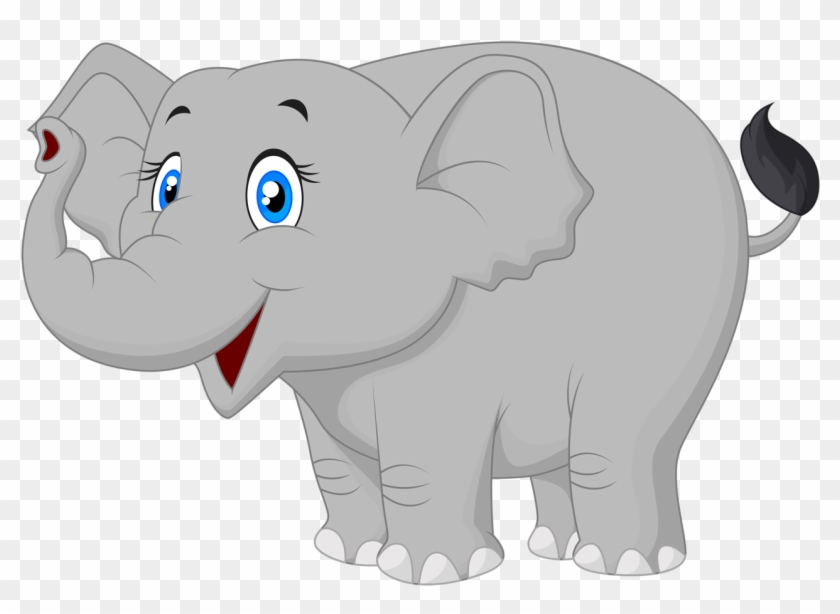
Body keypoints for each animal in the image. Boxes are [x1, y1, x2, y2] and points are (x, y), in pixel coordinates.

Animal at [22, 42, 820, 584]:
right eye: (164, 186)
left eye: (275, 196)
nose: (47, 142)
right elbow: (332, 460)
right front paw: (346, 556)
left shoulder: (455, 347)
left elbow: (424, 453)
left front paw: (428, 575)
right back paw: (554, 551)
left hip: (674, 320)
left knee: (615, 443)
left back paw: (619, 565)